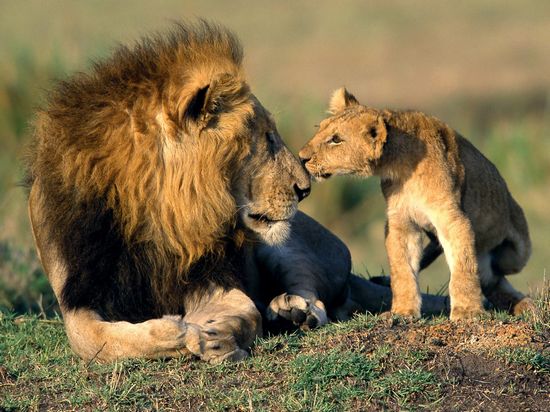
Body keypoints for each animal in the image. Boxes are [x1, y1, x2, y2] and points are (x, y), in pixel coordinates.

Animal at [27, 23, 448, 364]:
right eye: (266, 138)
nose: (305, 189)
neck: (155, 216)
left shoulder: (214, 275)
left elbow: (243, 311)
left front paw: (212, 334)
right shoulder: (77, 294)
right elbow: (89, 339)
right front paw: (174, 331)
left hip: (287, 243)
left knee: (318, 297)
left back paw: (295, 312)